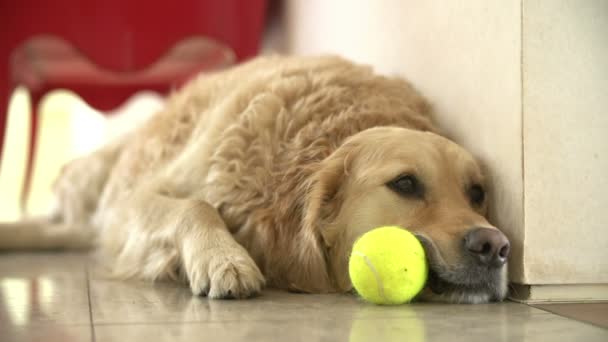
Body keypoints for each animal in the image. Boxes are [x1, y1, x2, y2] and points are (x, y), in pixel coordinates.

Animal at [1, 56, 508, 304]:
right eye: (405, 184)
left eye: (477, 193)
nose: (496, 247)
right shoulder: (131, 205)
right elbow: (195, 204)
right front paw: (222, 259)